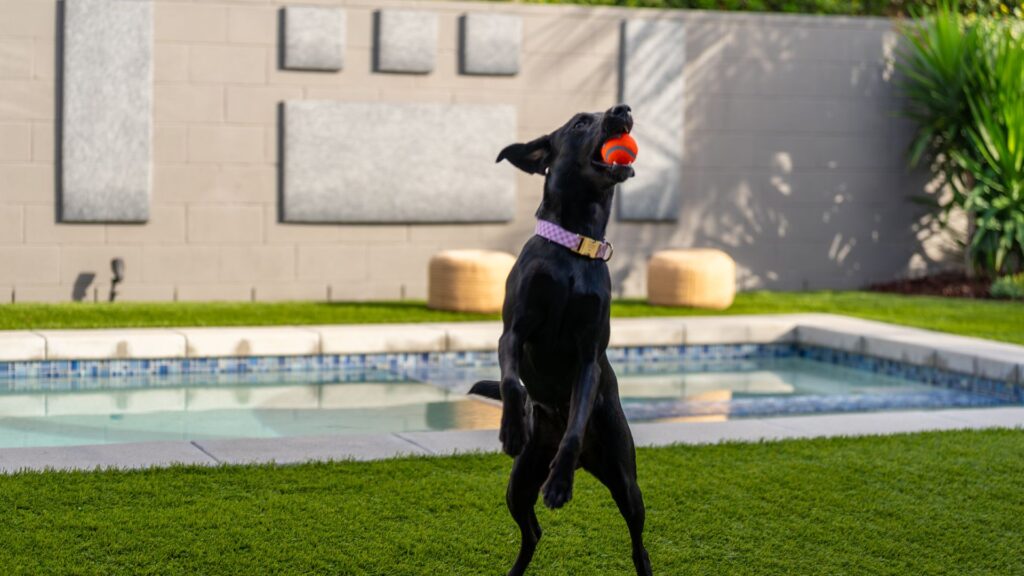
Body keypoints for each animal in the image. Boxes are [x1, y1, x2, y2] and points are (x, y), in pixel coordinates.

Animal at [468, 104, 651, 573]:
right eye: (580, 123)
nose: (623, 110)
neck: (576, 249)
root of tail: (591, 464)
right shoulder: (512, 333)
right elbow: (513, 383)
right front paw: (512, 428)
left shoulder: (589, 359)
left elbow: (575, 422)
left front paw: (559, 486)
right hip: (518, 482)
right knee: (532, 531)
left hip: (627, 483)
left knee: (637, 544)